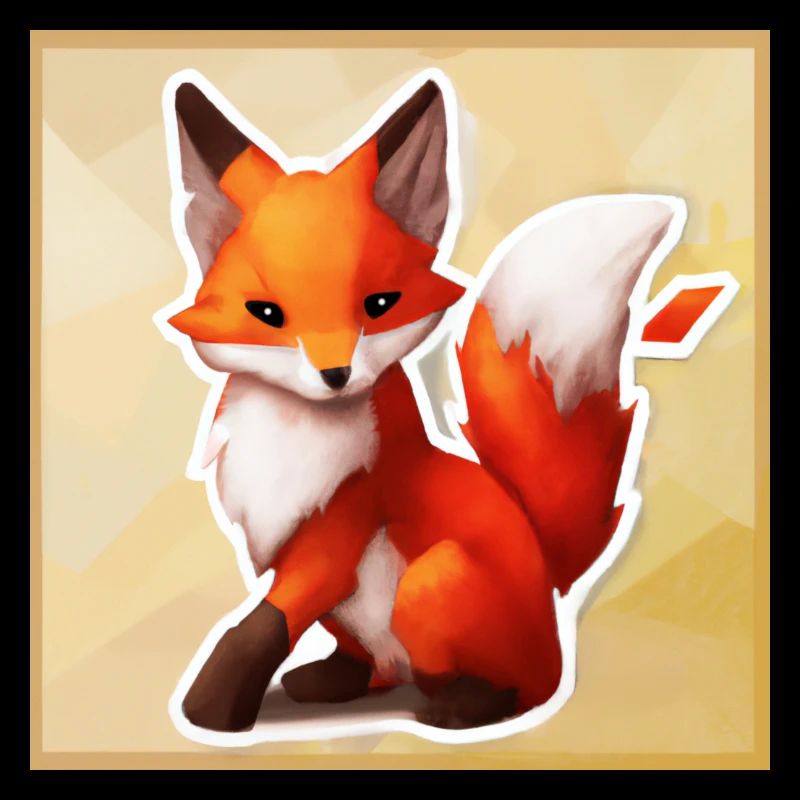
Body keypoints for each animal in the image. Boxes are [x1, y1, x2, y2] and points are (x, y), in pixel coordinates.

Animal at [158, 69, 690, 735]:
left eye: (380, 304)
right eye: (268, 314)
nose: (336, 374)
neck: (296, 432)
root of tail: (552, 601)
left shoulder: (342, 524)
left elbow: (263, 623)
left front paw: (210, 705)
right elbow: (273, 617)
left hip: (430, 583)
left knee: (510, 689)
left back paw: (463, 706)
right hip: (364, 623)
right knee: (376, 667)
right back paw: (334, 679)